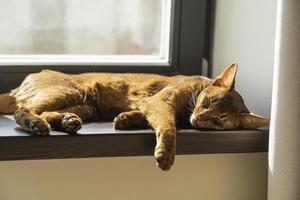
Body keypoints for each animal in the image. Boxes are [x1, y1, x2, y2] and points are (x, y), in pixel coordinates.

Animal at [0, 63, 268, 170]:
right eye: (209, 102)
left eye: (219, 120)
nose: (200, 120)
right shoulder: (160, 101)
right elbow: (168, 125)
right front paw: (165, 154)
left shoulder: (151, 104)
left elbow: (147, 115)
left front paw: (127, 119)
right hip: (68, 91)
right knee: (23, 110)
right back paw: (35, 124)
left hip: (85, 105)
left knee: (45, 111)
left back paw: (67, 122)